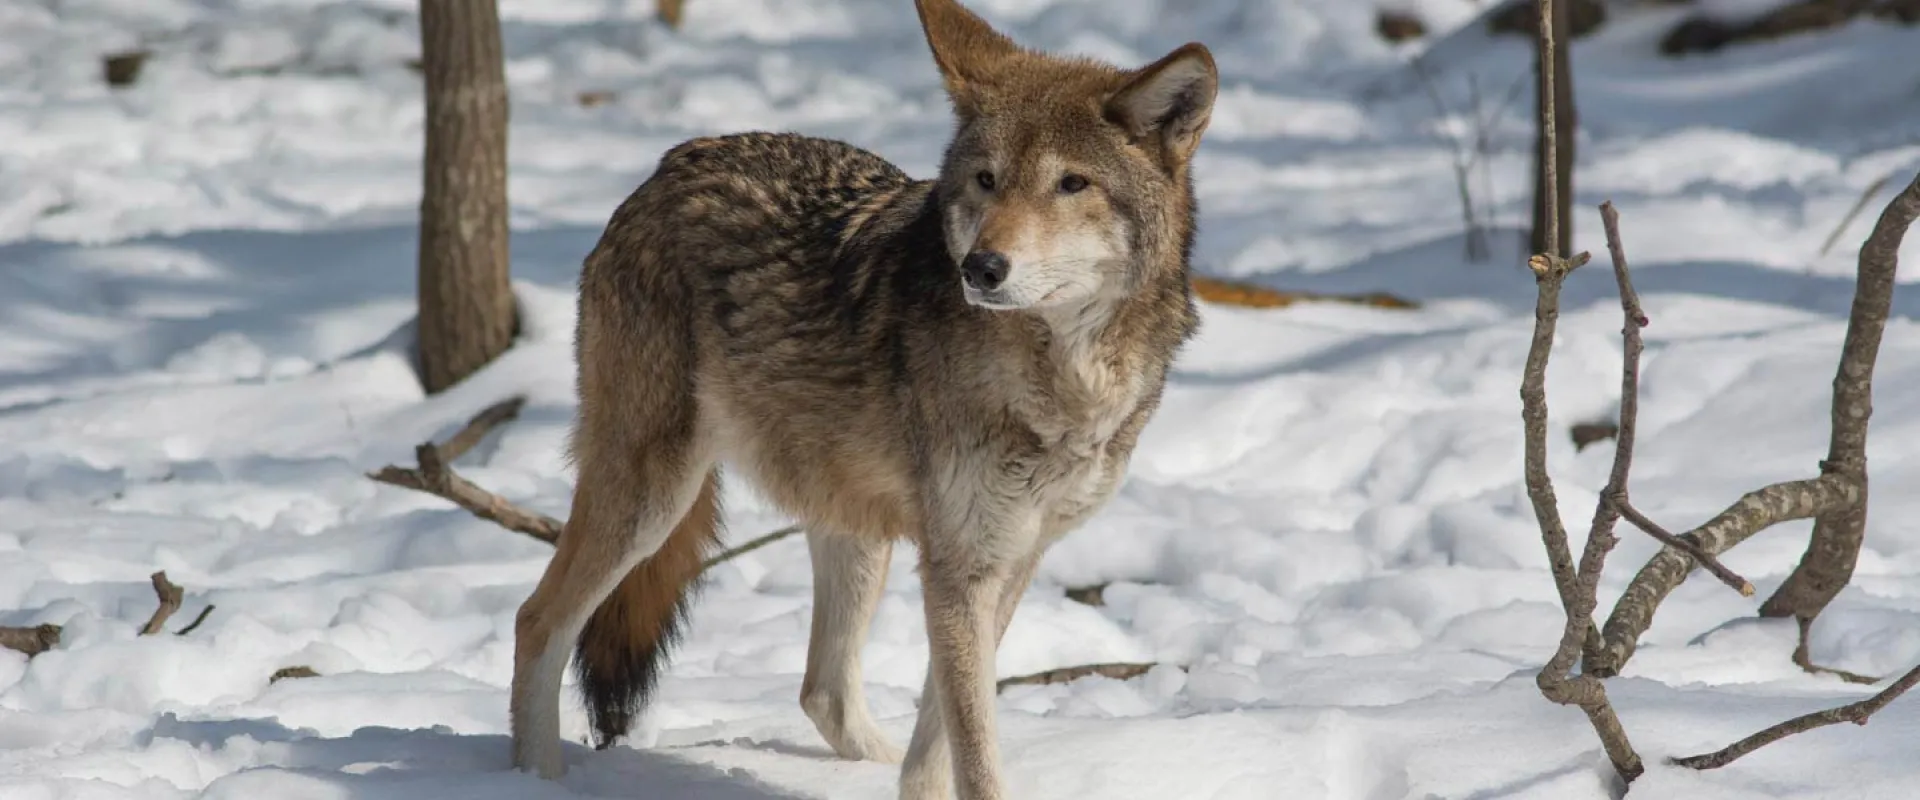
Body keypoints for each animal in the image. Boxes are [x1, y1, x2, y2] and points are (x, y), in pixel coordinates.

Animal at [507, 1, 1216, 797]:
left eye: (1072, 184)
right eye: (986, 180)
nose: (982, 268)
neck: (1064, 377)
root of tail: (667, 167)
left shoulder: (1009, 561)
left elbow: (939, 740)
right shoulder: (961, 567)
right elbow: (973, 752)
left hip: (853, 528)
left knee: (822, 689)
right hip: (653, 497)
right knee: (536, 622)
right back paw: (533, 777)